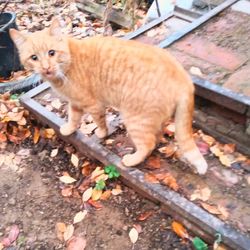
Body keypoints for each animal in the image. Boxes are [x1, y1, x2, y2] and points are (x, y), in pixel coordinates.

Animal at [10, 18, 207, 174]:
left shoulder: (92, 104)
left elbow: (100, 121)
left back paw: (132, 160)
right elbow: (73, 117)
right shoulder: (75, 102)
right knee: (156, 137)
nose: (46, 68)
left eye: (51, 53)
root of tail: (184, 78)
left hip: (135, 118)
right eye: (34, 58)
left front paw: (102, 133)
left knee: (148, 143)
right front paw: (69, 128)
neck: (67, 66)